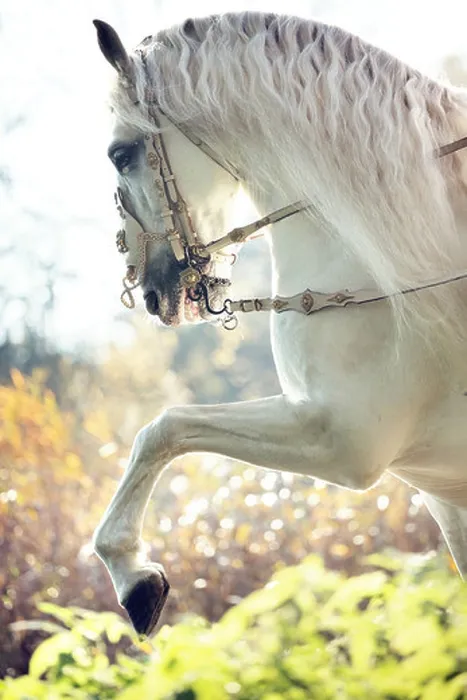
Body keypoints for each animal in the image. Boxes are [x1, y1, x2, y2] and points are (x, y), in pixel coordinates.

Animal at [92, 12, 467, 636]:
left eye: (121, 155)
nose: (146, 290)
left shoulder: (339, 439)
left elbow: (162, 429)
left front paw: (132, 575)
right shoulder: (445, 496)